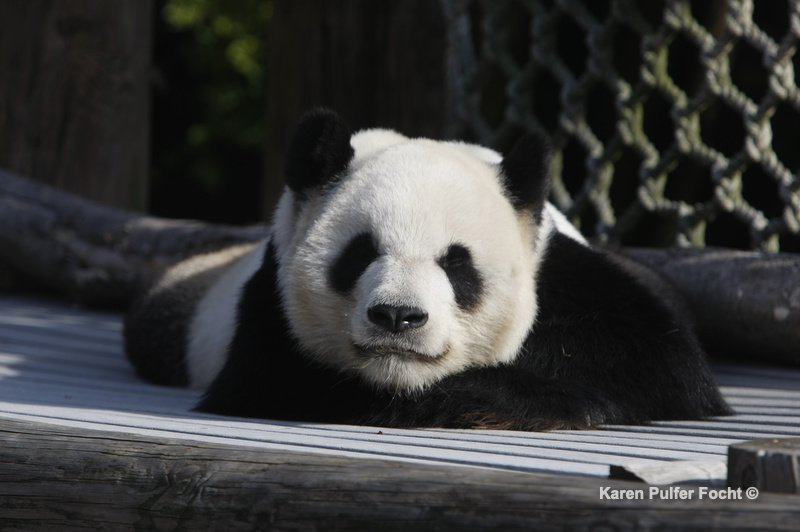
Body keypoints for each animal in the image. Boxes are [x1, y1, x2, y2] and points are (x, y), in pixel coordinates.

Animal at [126, 107, 732, 428]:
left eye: (457, 265)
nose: (398, 317)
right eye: (360, 254)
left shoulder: (568, 277)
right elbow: (284, 384)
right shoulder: (269, 307)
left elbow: (666, 372)